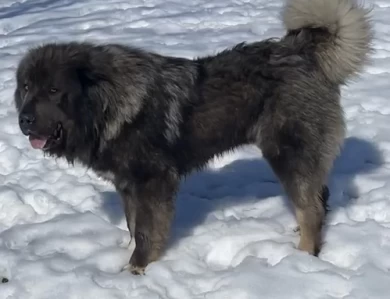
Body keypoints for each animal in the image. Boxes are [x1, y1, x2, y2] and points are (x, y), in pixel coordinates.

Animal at [13, 0, 374, 276]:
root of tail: (300, 50)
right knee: (318, 198)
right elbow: (132, 226)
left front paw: (136, 269)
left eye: (54, 90)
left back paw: (302, 255)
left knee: (311, 207)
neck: (107, 106)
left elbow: (145, 231)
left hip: (287, 153)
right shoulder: (129, 185)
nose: (23, 120)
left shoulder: (153, 182)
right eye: (27, 87)